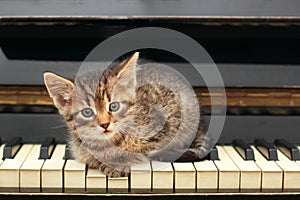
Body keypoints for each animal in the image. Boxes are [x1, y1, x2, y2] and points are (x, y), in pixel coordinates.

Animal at [43, 52, 210, 177]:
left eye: (114, 106)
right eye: (87, 112)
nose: (105, 124)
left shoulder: (167, 119)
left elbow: (143, 150)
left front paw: (118, 163)